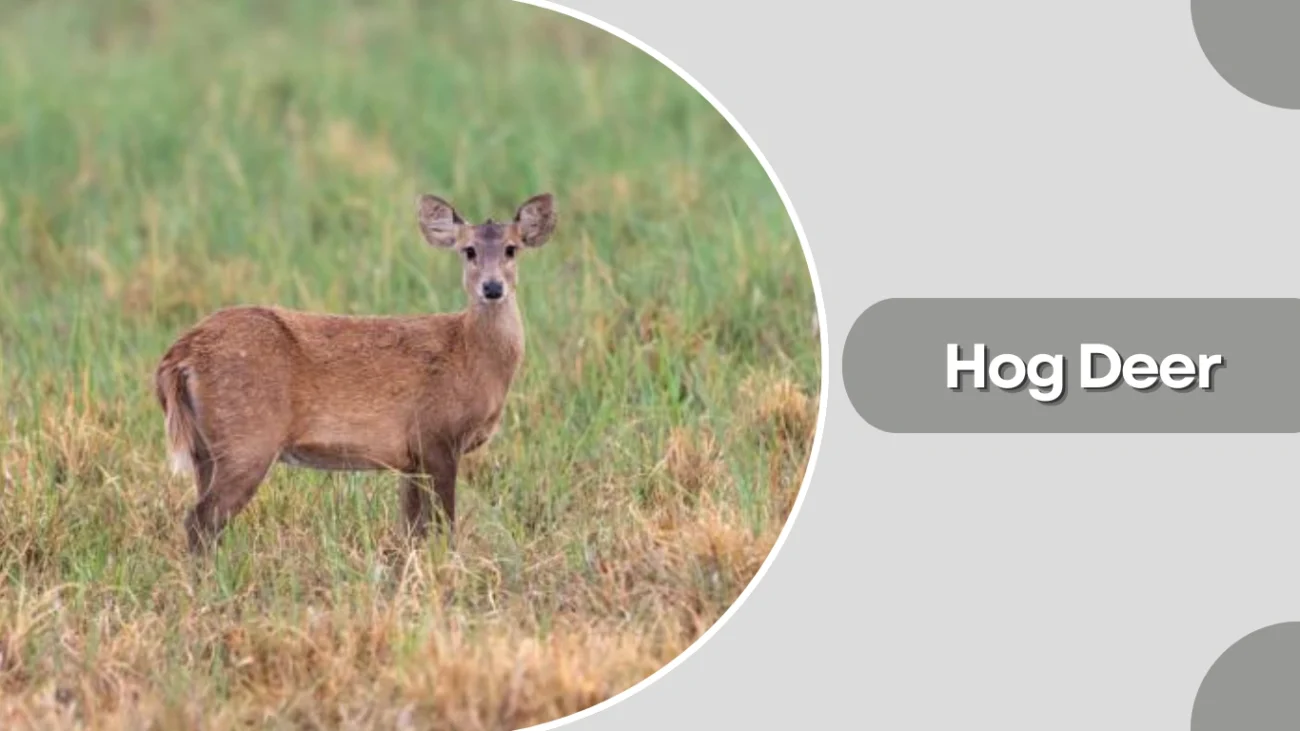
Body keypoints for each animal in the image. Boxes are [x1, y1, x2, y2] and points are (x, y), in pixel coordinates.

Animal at [153, 192, 557, 554]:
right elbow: (444, 527)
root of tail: (179, 355)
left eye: (511, 249)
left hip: (206, 449)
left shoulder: (411, 457)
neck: (470, 355)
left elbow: (412, 531)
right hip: (248, 438)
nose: (492, 287)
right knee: (201, 519)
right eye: (468, 250)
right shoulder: (437, 436)